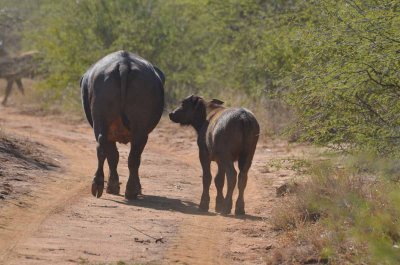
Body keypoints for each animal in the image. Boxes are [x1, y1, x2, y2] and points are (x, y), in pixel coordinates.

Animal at [80, 50, 165, 198]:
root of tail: (123, 65)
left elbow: (113, 156)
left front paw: (112, 186)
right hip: (139, 129)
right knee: (133, 157)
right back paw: (131, 190)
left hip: (102, 121)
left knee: (103, 148)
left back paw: (98, 184)